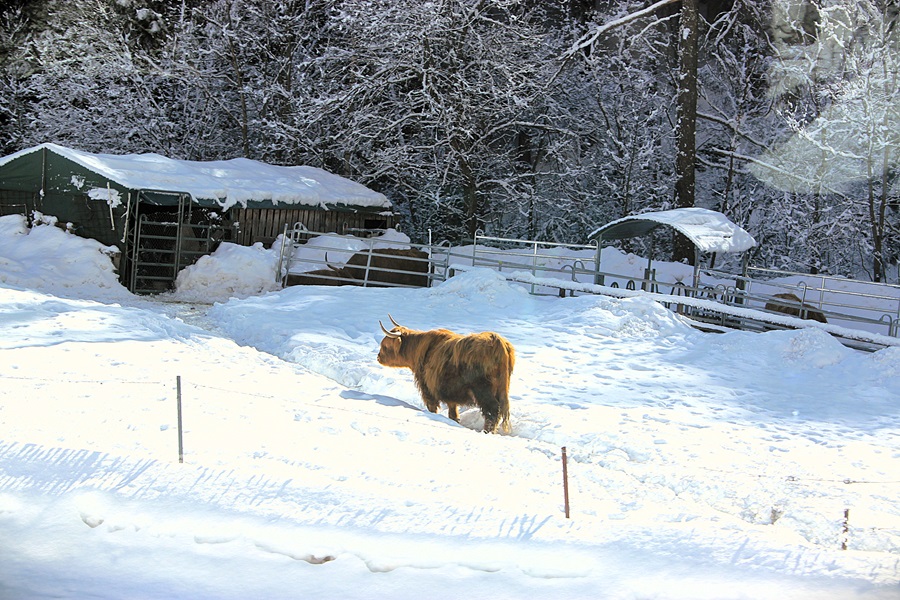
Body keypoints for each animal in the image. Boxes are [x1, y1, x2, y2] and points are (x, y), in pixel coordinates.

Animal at [377, 315, 515, 434]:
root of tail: (497, 341)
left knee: (492, 412)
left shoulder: (428, 389)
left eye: (385, 345)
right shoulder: (450, 394)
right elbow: (453, 412)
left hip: (483, 390)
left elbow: (433, 407)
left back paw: (487, 432)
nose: (378, 357)